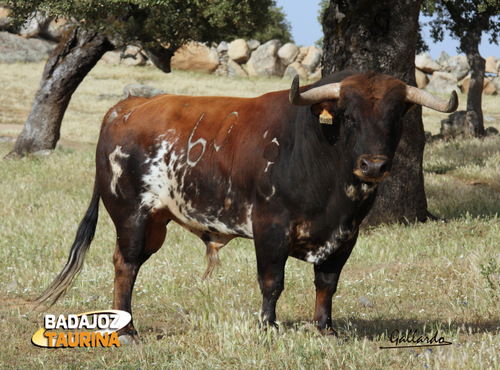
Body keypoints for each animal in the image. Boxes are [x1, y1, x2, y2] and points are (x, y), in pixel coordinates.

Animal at [35, 71, 458, 342]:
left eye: (394, 117)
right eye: (348, 115)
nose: (373, 165)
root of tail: (125, 108)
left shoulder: (345, 236)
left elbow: (327, 284)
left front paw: (325, 328)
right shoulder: (270, 228)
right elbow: (272, 282)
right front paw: (268, 327)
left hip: (156, 221)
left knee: (129, 263)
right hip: (131, 215)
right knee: (126, 265)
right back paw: (127, 331)